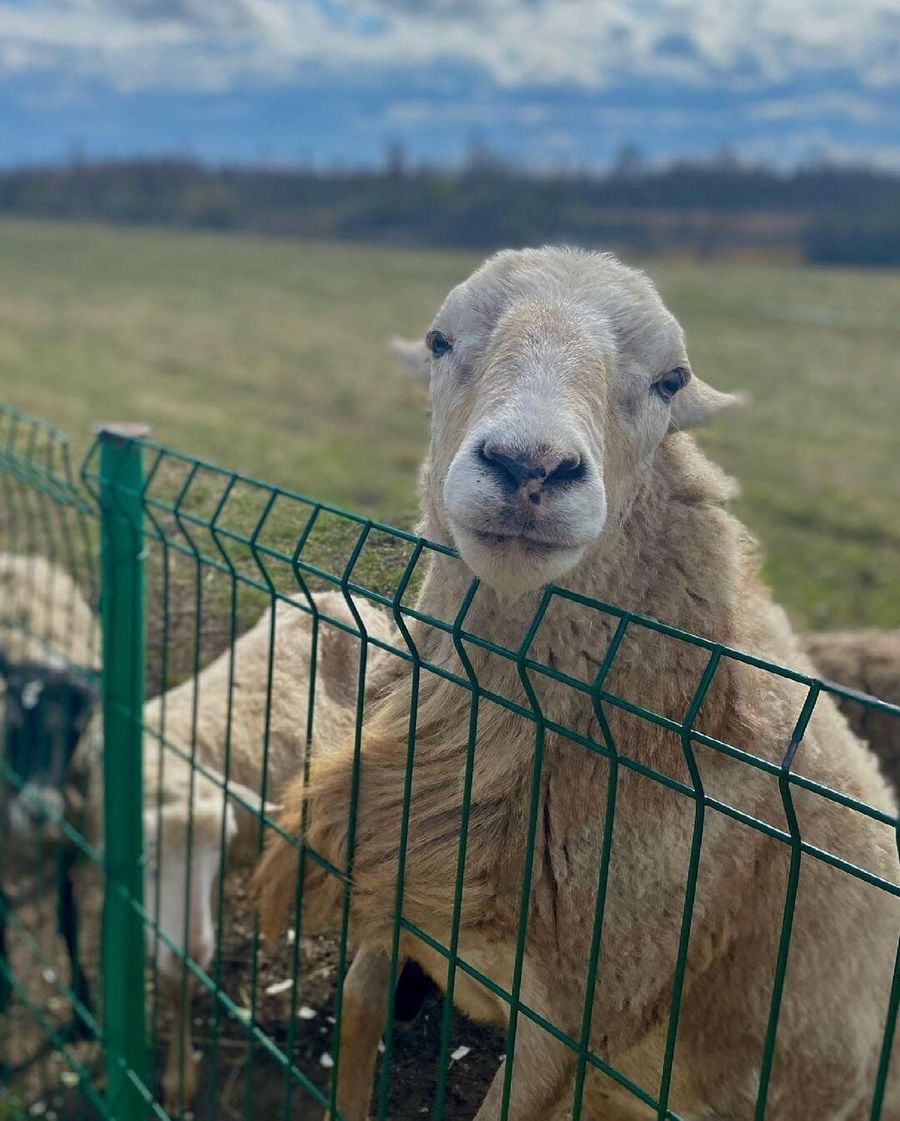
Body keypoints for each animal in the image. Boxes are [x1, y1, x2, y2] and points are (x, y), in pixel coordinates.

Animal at [256, 248, 899, 1121]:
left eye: (671, 379)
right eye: (438, 341)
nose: (531, 467)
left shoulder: (579, 1016)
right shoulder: (405, 886)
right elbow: (356, 1012)